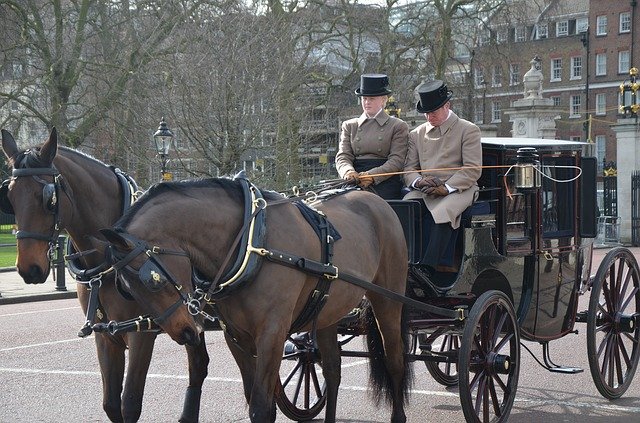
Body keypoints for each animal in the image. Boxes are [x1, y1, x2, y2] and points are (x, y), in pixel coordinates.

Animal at [0, 129, 209, 423]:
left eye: (49, 198)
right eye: (9, 194)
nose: (29, 268)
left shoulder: (142, 331)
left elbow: (129, 403)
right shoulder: (106, 334)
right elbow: (111, 404)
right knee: (199, 365)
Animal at [98, 177, 412, 422]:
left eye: (152, 280)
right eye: (125, 288)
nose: (186, 332)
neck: (252, 243)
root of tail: (376, 201)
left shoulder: (272, 334)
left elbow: (261, 408)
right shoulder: (237, 336)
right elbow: (255, 401)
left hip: (388, 299)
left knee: (395, 359)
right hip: (326, 312)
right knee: (333, 371)